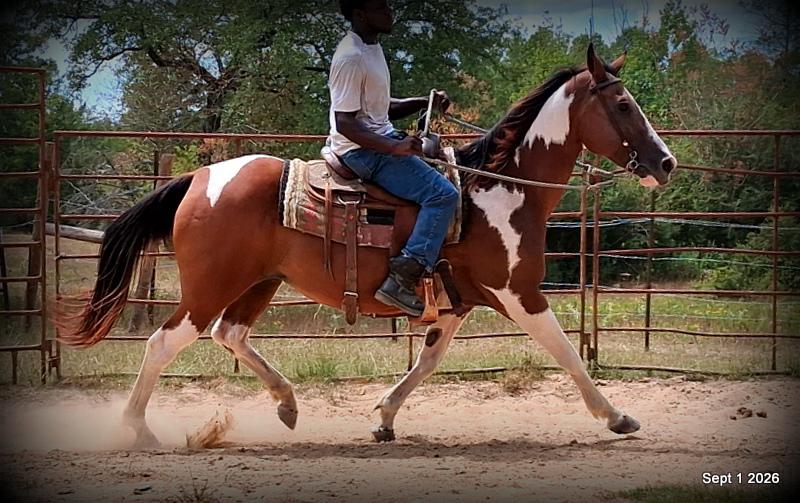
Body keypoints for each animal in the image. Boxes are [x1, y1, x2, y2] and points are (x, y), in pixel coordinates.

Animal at [58, 45, 676, 447]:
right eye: (623, 105)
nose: (666, 162)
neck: (500, 190)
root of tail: (199, 178)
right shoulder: (518, 293)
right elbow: (567, 351)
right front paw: (617, 417)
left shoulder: (454, 305)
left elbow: (428, 361)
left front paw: (384, 418)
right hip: (211, 287)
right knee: (165, 342)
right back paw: (138, 429)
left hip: (260, 283)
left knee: (229, 335)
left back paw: (287, 404)